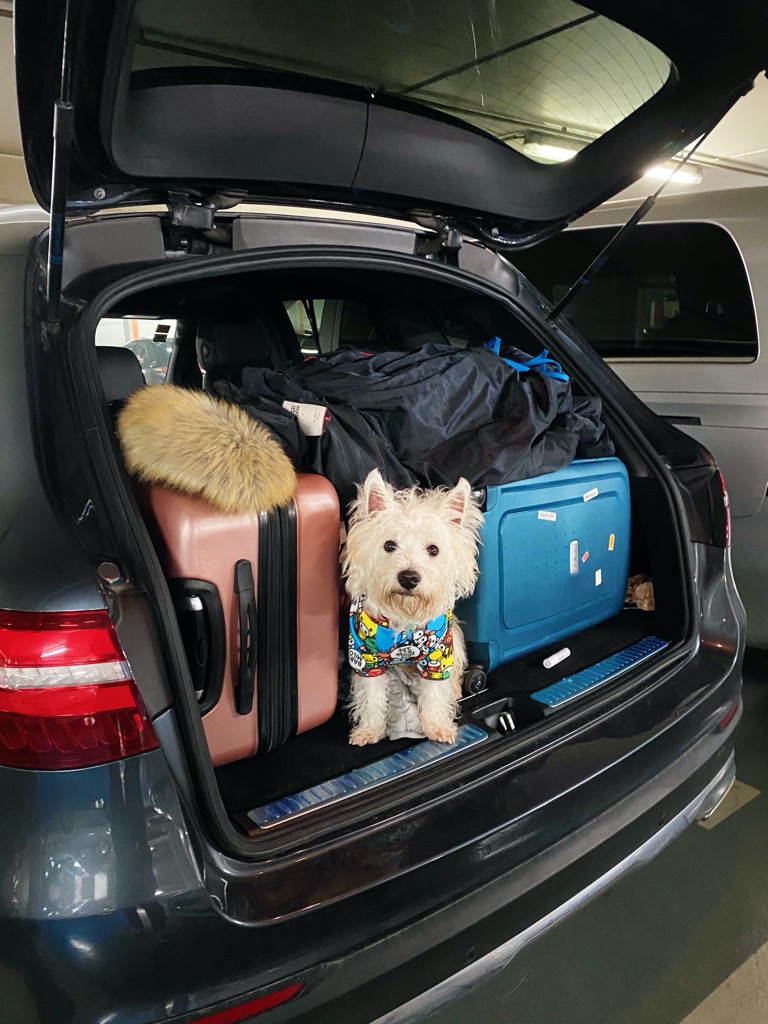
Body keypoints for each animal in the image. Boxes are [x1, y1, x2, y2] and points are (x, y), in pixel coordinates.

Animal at [346, 468, 483, 745]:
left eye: (433, 549)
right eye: (389, 545)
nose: (409, 577)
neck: (404, 617)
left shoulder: (438, 655)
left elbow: (434, 695)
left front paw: (437, 727)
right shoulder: (365, 659)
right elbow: (372, 698)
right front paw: (369, 731)